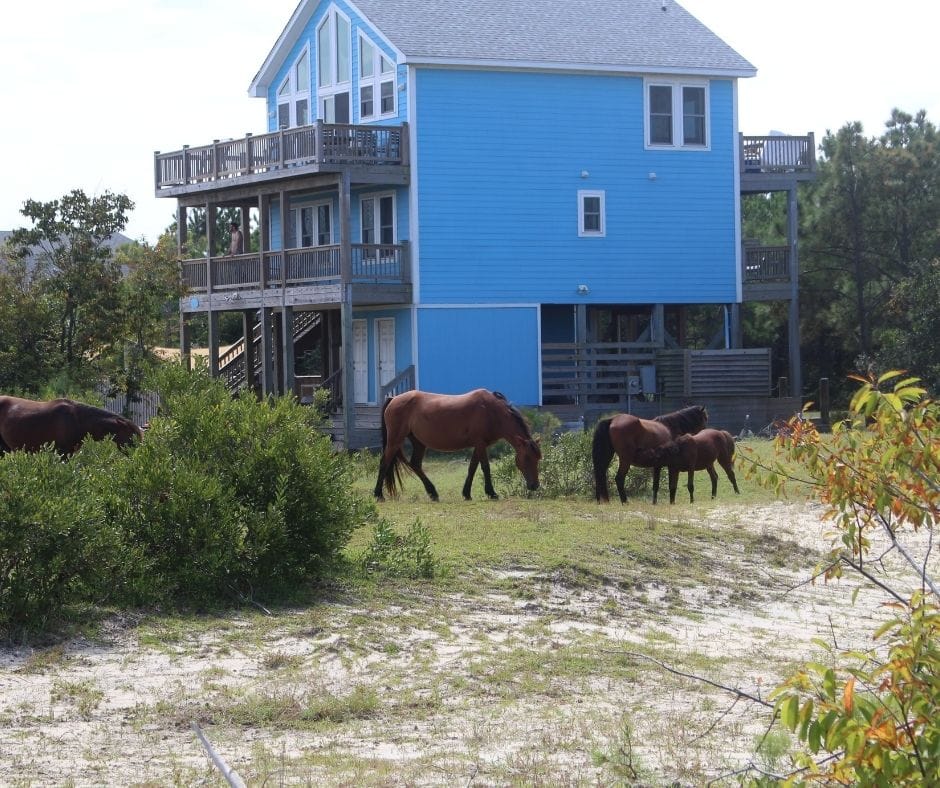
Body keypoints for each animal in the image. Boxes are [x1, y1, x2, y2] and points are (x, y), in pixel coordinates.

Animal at [370, 390, 540, 504]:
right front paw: (492, 493)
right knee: (384, 462)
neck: (492, 411)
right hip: (395, 440)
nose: (535, 486)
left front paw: (467, 493)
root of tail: (394, 399)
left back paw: (433, 493)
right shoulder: (480, 444)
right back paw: (378, 494)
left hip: (418, 443)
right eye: (527, 458)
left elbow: (472, 467)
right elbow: (485, 467)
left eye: (538, 458)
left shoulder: (479, 445)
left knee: (415, 464)